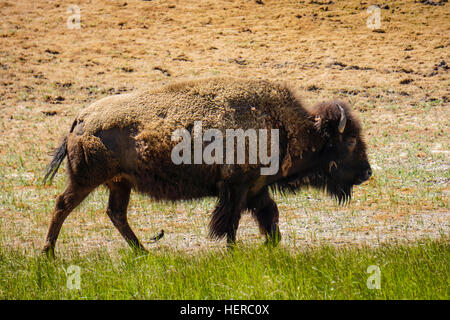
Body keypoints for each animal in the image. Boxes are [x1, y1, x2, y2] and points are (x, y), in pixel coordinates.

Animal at [41, 78, 372, 255]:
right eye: (350, 140)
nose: (368, 172)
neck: (285, 127)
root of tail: (81, 119)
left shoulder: (255, 189)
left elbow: (268, 216)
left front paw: (272, 246)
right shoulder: (237, 188)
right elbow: (231, 222)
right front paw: (233, 251)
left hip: (120, 183)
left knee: (116, 214)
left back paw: (142, 252)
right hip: (86, 180)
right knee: (62, 205)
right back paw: (48, 255)